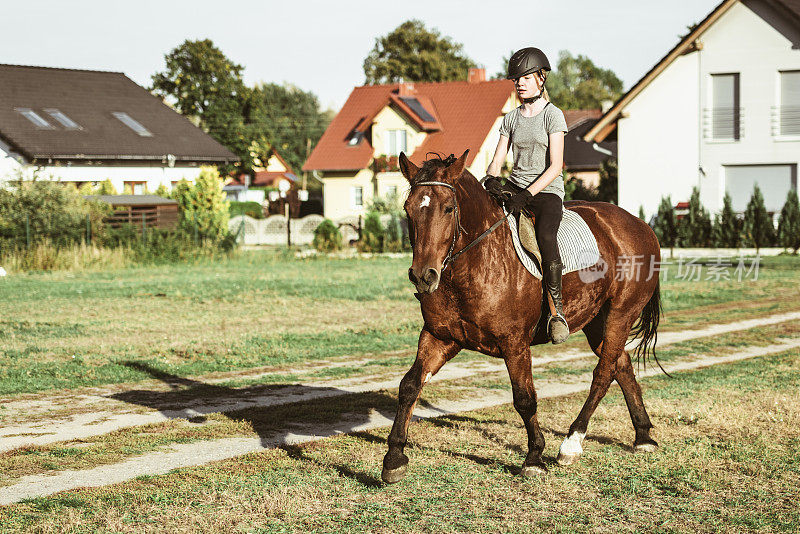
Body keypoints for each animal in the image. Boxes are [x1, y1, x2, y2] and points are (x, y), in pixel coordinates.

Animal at [384, 151, 660, 486]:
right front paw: (394, 458)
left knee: (604, 373)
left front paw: (534, 458)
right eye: (408, 208)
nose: (423, 276)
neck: (477, 263)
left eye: (448, 208)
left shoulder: (514, 343)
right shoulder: (440, 337)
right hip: (597, 322)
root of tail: (639, 224)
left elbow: (525, 398)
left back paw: (571, 443)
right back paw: (643, 436)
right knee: (622, 365)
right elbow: (409, 385)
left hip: (622, 312)